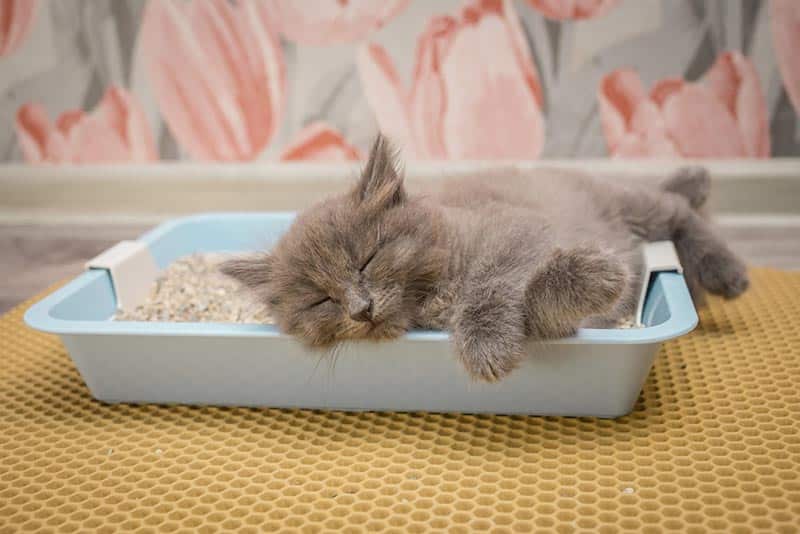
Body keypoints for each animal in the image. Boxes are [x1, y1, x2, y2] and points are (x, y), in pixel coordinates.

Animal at [220, 136, 752, 384]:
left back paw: (725, 265)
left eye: (367, 260)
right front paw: (596, 276)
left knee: (679, 211)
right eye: (320, 301)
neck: (431, 301)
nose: (361, 309)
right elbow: (541, 309)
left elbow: (492, 283)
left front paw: (485, 342)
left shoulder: (513, 229)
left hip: (628, 204)